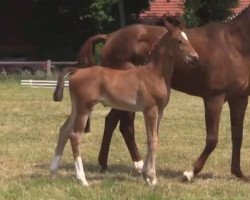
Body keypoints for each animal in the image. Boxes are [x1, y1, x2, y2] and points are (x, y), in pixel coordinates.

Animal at [49, 22, 198, 186]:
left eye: (187, 39)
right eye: (179, 41)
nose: (195, 58)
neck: (154, 74)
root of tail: (76, 72)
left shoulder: (160, 111)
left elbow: (152, 138)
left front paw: (146, 175)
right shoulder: (150, 110)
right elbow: (152, 140)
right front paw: (152, 178)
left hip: (76, 108)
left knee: (64, 130)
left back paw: (53, 171)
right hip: (84, 108)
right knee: (75, 136)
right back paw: (82, 179)